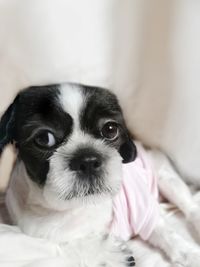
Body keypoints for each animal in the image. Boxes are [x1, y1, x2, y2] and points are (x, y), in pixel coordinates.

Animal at [0, 82, 200, 266]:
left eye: (110, 129)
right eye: (44, 138)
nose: (87, 160)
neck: (81, 207)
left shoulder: (143, 209)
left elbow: (165, 232)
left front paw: (189, 254)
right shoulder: (39, 234)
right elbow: (73, 247)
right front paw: (111, 253)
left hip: (167, 178)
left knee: (190, 207)